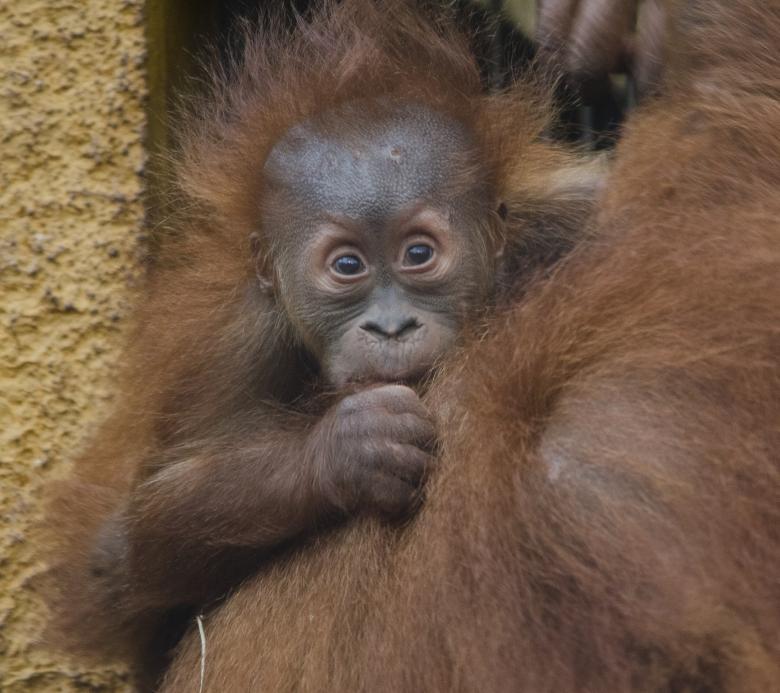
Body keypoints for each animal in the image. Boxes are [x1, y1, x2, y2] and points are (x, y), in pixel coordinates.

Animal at [43, 1, 780, 691]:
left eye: (419, 253)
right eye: (347, 266)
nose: (391, 328)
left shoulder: (557, 217)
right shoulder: (240, 340)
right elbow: (135, 533)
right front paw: (352, 448)